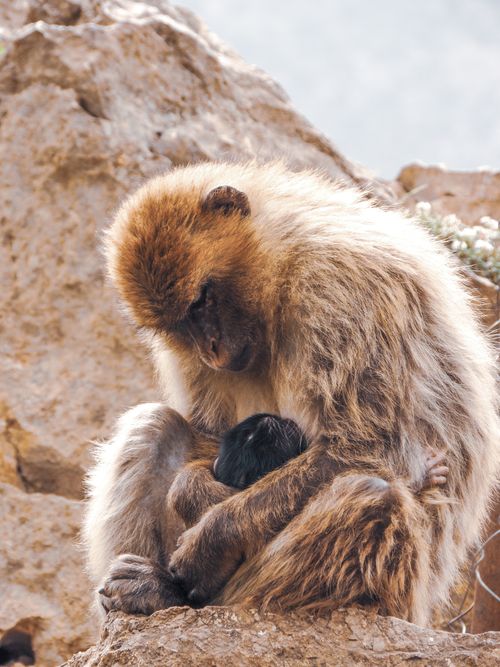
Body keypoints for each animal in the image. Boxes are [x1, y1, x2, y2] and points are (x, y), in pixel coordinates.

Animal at [84, 162, 500, 625]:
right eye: (178, 325)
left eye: (202, 301)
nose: (210, 350)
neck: (280, 266)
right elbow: (210, 435)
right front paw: (197, 491)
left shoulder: (340, 287)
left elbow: (372, 445)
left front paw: (212, 538)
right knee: (155, 428)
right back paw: (155, 592)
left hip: (394, 596)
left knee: (373, 497)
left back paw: (177, 591)